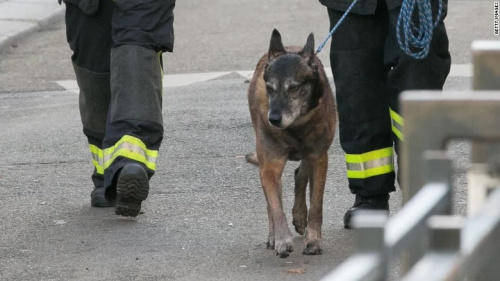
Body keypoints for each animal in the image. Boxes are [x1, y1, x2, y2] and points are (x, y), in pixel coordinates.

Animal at [246, 29, 336, 258]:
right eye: (269, 88)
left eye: (294, 87)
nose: (273, 119)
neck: (295, 125)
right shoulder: (269, 167)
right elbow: (275, 205)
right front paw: (281, 239)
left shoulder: (319, 158)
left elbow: (316, 204)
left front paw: (313, 239)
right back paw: (274, 234)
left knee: (301, 174)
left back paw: (300, 215)